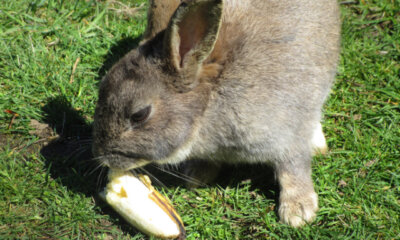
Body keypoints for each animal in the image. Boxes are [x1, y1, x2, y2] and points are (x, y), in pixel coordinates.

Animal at [93, 0, 340, 227]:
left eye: (139, 115)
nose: (103, 157)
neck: (208, 107)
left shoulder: (287, 134)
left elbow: (293, 168)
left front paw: (298, 212)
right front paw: (196, 176)